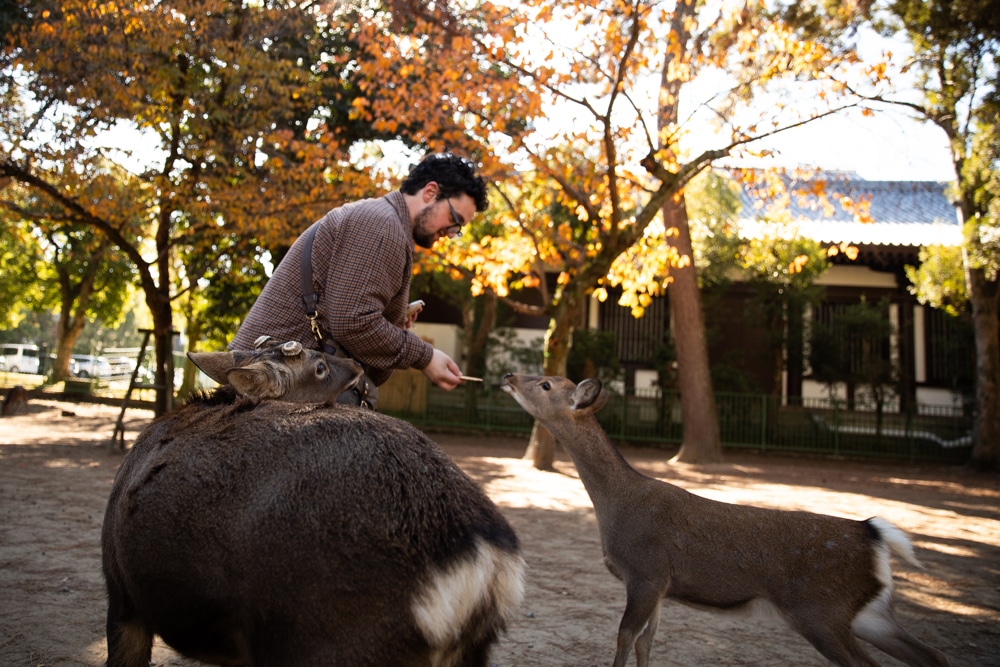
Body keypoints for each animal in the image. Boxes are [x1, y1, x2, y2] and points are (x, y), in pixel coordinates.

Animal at [501, 373, 950, 667]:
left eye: (546, 384)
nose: (508, 376)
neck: (615, 505)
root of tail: (873, 534)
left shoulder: (645, 571)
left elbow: (625, 637)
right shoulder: (662, 586)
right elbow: (647, 642)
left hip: (820, 610)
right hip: (869, 612)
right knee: (933, 655)